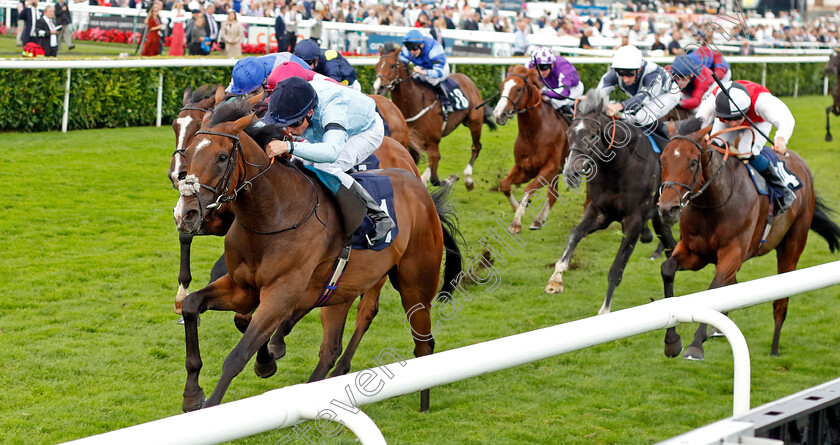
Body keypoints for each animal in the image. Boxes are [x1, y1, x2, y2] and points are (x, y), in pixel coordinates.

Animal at [172, 99, 460, 412]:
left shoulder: (282, 291)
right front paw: (193, 392)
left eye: (223, 157)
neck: (273, 214)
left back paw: (424, 404)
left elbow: (239, 353)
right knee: (331, 348)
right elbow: (195, 306)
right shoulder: (242, 287)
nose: (187, 213)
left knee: (421, 342)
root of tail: (422, 193)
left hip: (415, 286)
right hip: (341, 290)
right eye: (189, 152)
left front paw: (212, 404)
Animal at [370, 43, 496, 191]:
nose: (378, 87)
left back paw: (468, 179)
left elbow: (435, 175)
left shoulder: (432, 140)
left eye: (392, 65)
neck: (415, 103)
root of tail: (467, 78)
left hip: (474, 122)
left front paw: (447, 181)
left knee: (476, 147)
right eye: (377, 65)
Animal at [492, 65, 572, 236]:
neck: (535, 132)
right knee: (553, 194)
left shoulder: (550, 168)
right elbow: (504, 185)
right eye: (502, 86)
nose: (498, 114)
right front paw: (518, 207)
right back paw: (538, 220)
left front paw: (516, 222)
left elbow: (530, 188)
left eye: (518, 89)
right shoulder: (525, 168)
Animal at [656, 116, 840, 360]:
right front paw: (672, 342)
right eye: (662, 160)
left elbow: (713, 289)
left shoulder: (733, 252)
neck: (715, 201)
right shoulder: (695, 252)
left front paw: (696, 344)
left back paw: (774, 348)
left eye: (693, 162)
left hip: (792, 245)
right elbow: (667, 269)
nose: (667, 209)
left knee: (781, 302)